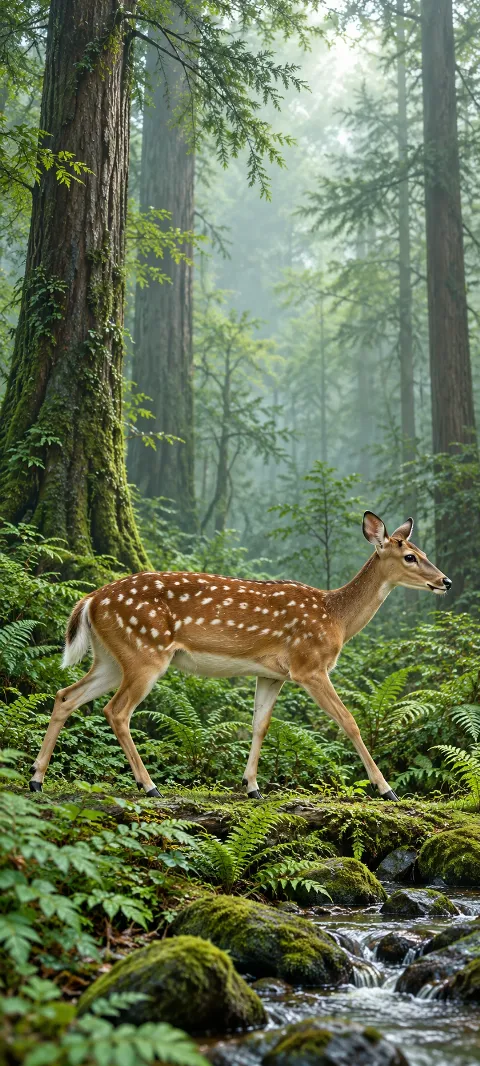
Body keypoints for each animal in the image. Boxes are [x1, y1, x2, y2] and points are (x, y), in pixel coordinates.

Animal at [29, 511, 451, 799]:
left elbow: (259, 724)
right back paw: (148, 786)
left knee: (65, 695)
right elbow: (349, 722)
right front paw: (386, 788)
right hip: (144, 653)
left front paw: (251, 787)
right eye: (410, 557)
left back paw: (36, 778)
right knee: (116, 711)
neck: (335, 617)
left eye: (423, 552)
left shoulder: (273, 673)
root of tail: (89, 600)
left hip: (111, 658)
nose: (445, 581)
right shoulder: (309, 665)